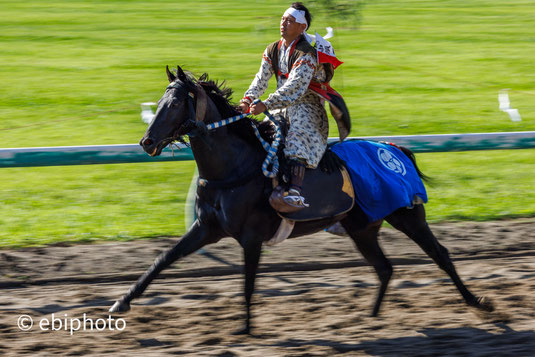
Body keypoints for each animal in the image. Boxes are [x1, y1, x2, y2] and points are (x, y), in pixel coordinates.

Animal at [109, 66, 494, 334]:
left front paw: (245, 328)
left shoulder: (251, 237)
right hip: (362, 227)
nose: (146, 142)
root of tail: (395, 148)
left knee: (440, 255)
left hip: (407, 215)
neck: (236, 168)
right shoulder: (206, 228)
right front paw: (121, 302)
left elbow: (248, 284)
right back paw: (370, 318)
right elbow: (162, 260)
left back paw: (478, 302)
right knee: (384, 267)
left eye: (174, 104)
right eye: (159, 102)